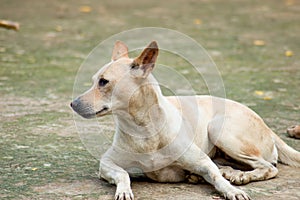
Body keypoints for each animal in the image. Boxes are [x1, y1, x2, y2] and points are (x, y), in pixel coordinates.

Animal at [71, 41, 300, 200]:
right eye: (94, 81)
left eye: (103, 82)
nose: (72, 103)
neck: (144, 129)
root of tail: (268, 128)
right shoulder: (107, 163)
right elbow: (123, 175)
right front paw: (124, 191)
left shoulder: (202, 161)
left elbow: (216, 178)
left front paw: (231, 190)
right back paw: (224, 172)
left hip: (219, 129)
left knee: (269, 167)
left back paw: (241, 176)